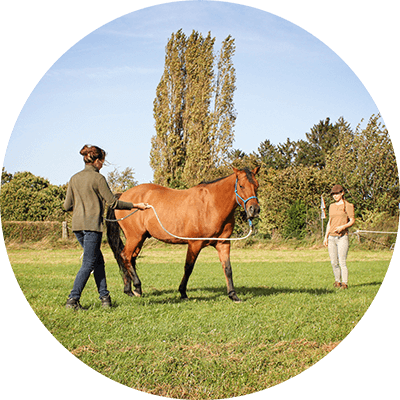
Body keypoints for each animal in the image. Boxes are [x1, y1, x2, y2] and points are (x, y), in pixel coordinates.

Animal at [106, 167, 260, 302]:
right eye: (241, 186)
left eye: (257, 186)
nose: (254, 210)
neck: (211, 205)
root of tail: (122, 196)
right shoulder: (194, 244)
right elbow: (188, 268)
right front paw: (183, 293)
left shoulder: (223, 243)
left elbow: (227, 268)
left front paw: (233, 295)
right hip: (135, 237)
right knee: (125, 256)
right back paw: (136, 287)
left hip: (140, 238)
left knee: (129, 259)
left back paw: (130, 289)